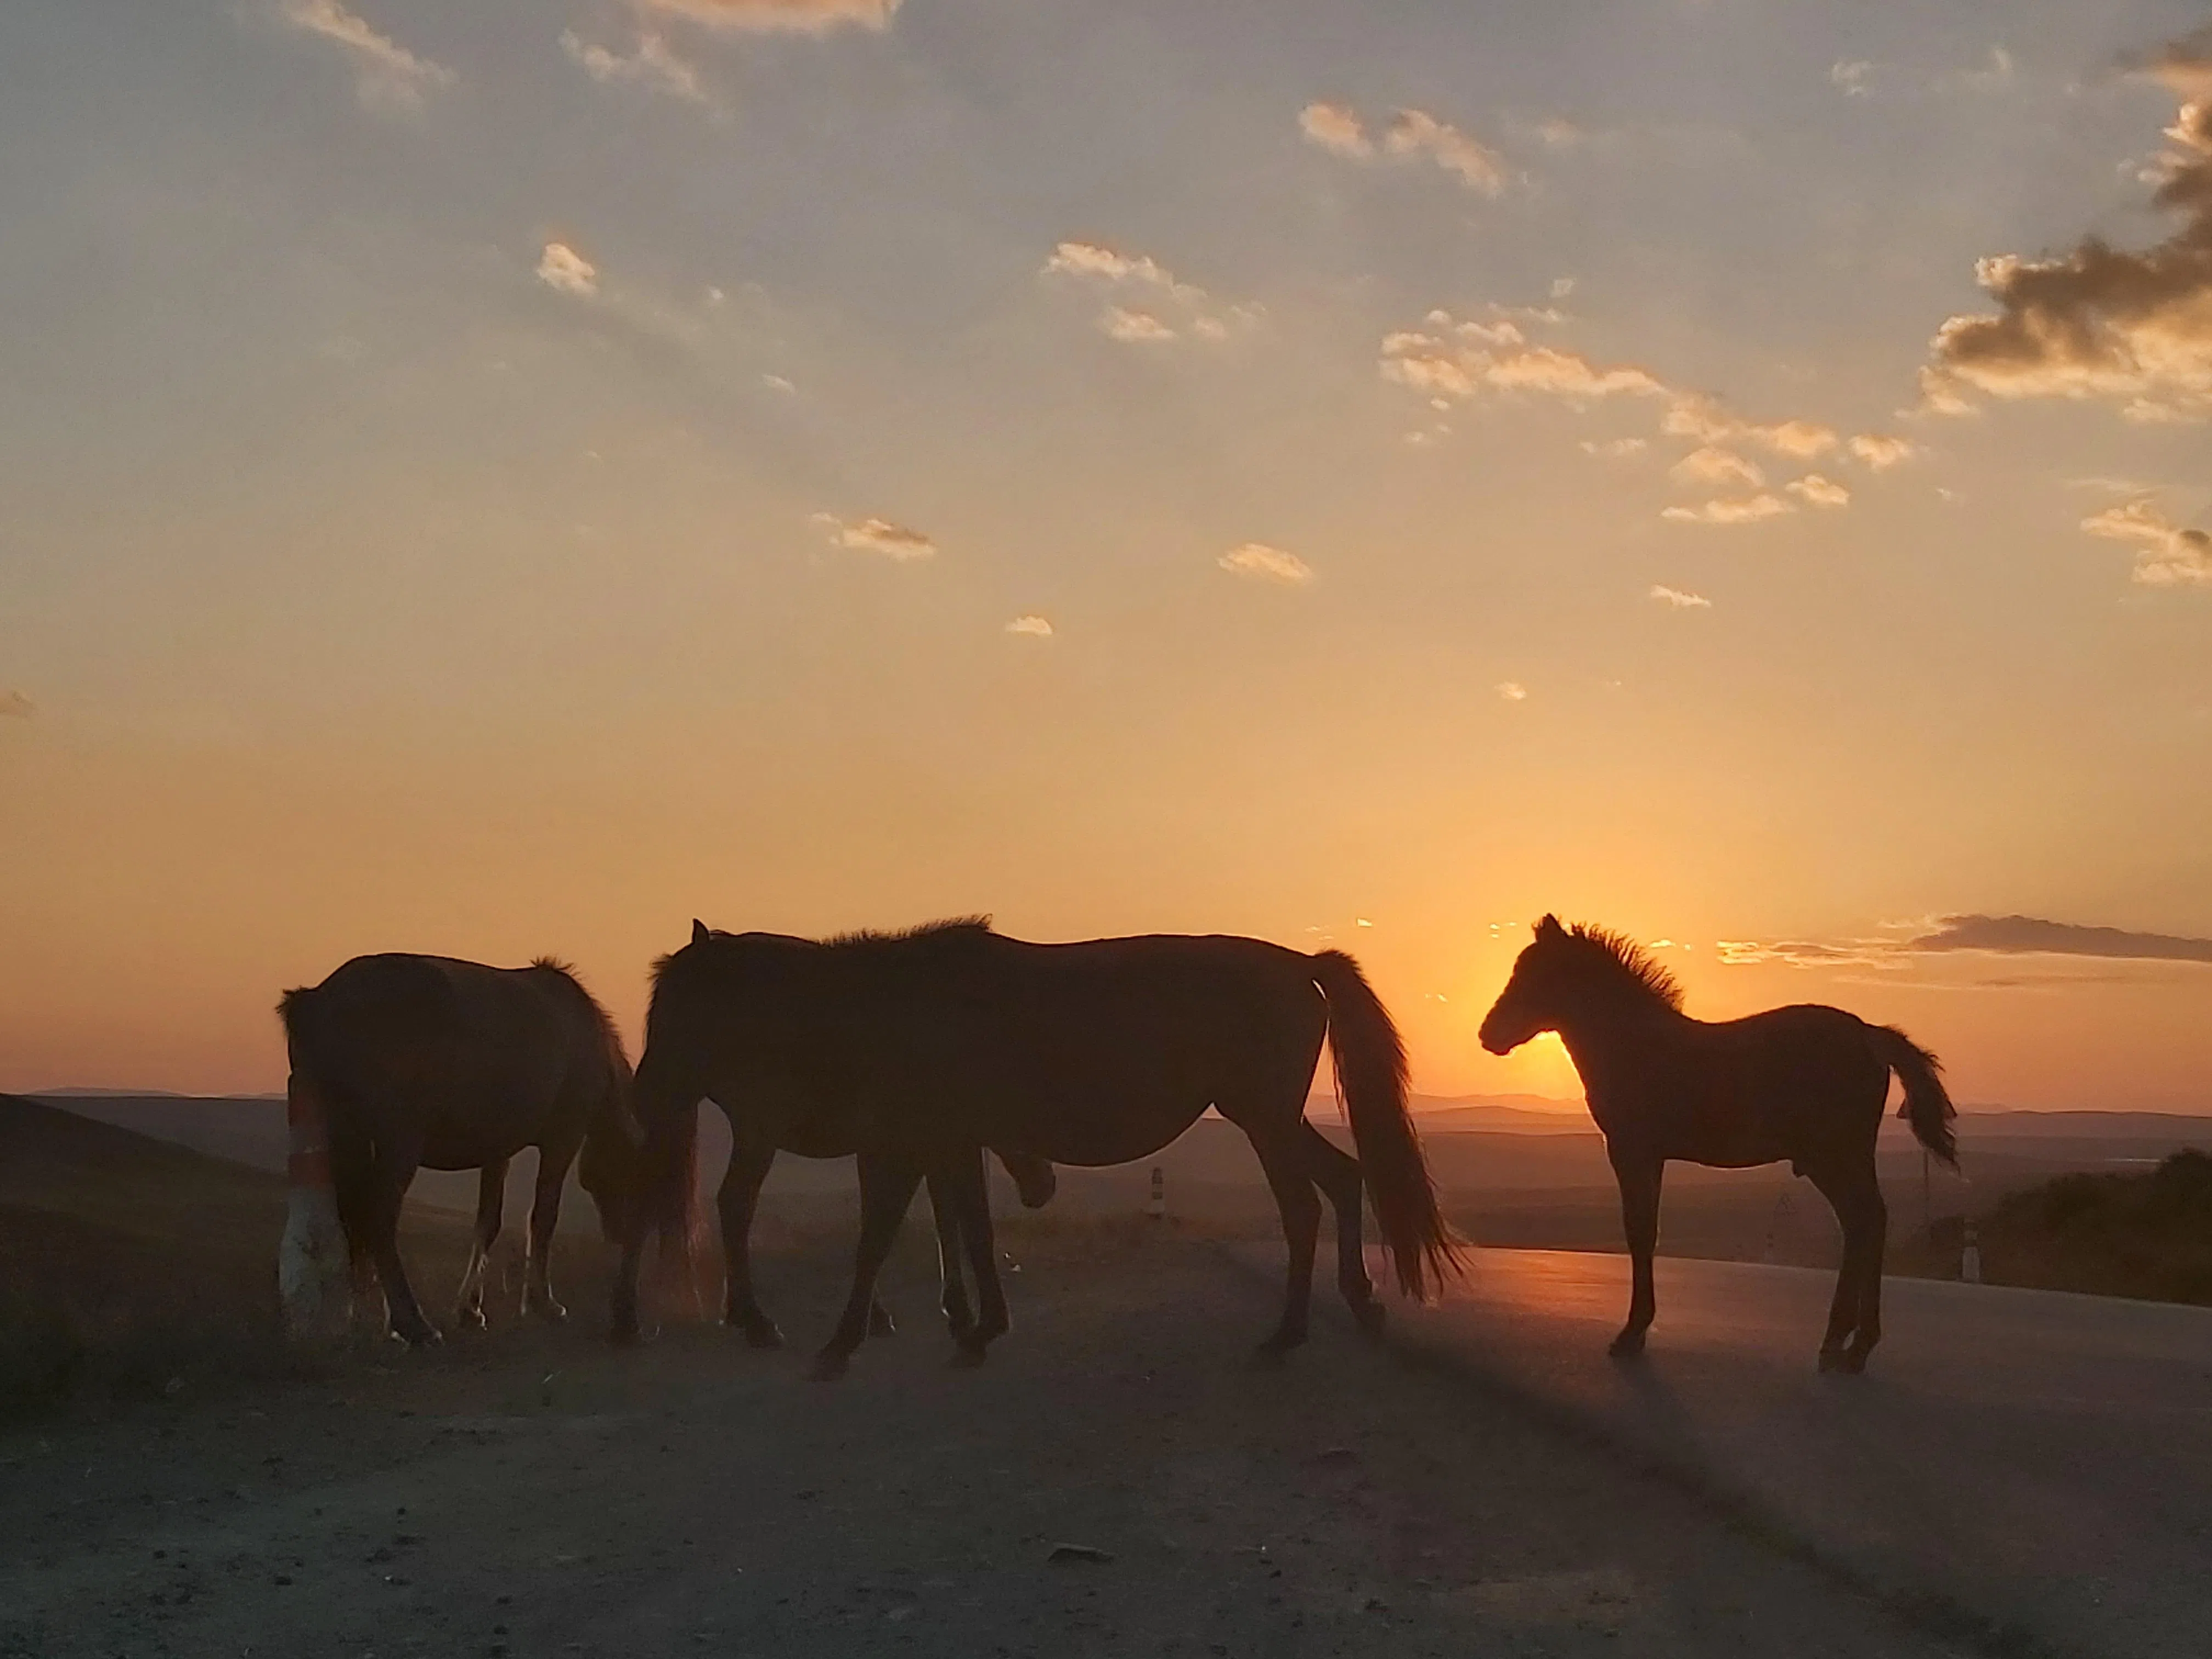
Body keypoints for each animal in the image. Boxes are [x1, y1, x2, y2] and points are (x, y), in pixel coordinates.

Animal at [279, 952, 675, 1347]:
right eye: (634, 1178)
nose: (621, 1234)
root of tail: (319, 1001)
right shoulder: (562, 1140)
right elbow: (544, 1217)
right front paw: (543, 1303)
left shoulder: (498, 1151)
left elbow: (488, 1222)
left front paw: (471, 1309)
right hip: (399, 1142)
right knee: (379, 1218)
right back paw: (412, 1323)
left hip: (347, 1135)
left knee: (355, 1219)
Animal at [615, 918, 1460, 1380]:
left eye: (682, 1007)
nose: (643, 1094)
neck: (888, 1008)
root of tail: (1300, 965)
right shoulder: (950, 1142)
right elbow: (969, 1231)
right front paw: (980, 1325)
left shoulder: (910, 1144)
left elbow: (878, 1237)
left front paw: (846, 1338)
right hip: (1273, 1117)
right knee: (1343, 1181)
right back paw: (1357, 1299)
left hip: (1263, 1119)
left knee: (1302, 1207)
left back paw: (1289, 1331)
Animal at [1477, 916, 1958, 1373]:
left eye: (1535, 974)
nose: (1489, 1034)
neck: (1635, 1046)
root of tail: (1869, 1034)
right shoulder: (1650, 1156)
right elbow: (1645, 1232)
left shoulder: (1632, 1151)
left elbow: (1640, 1232)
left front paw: (1631, 1334)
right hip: (1842, 1158)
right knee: (1864, 1223)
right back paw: (1842, 1343)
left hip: (1834, 1156)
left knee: (1866, 1221)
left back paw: (1853, 1347)